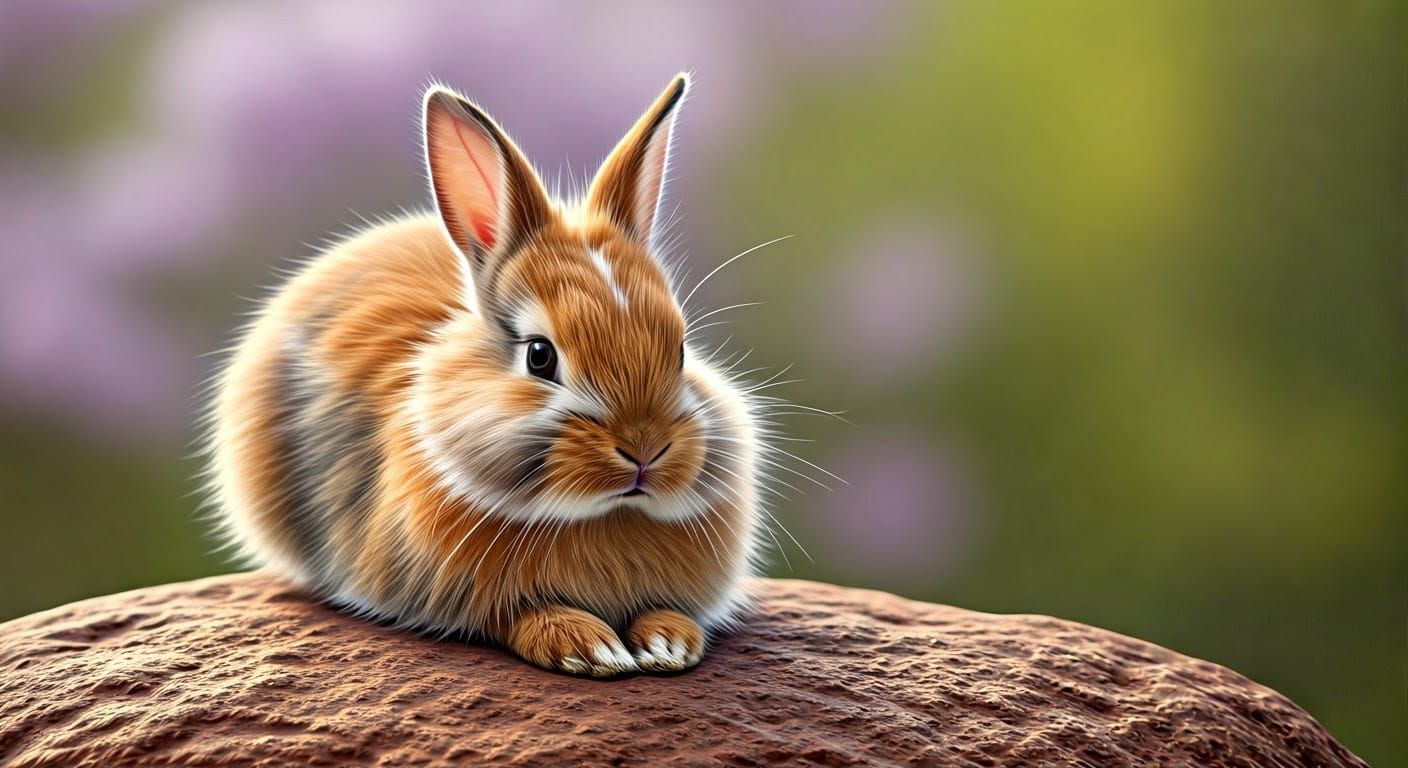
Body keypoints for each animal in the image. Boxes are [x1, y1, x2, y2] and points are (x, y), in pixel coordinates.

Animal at [207, 74, 767, 676]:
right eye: (540, 356)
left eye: (682, 351)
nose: (645, 451)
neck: (602, 515)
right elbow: (516, 617)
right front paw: (587, 647)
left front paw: (668, 643)